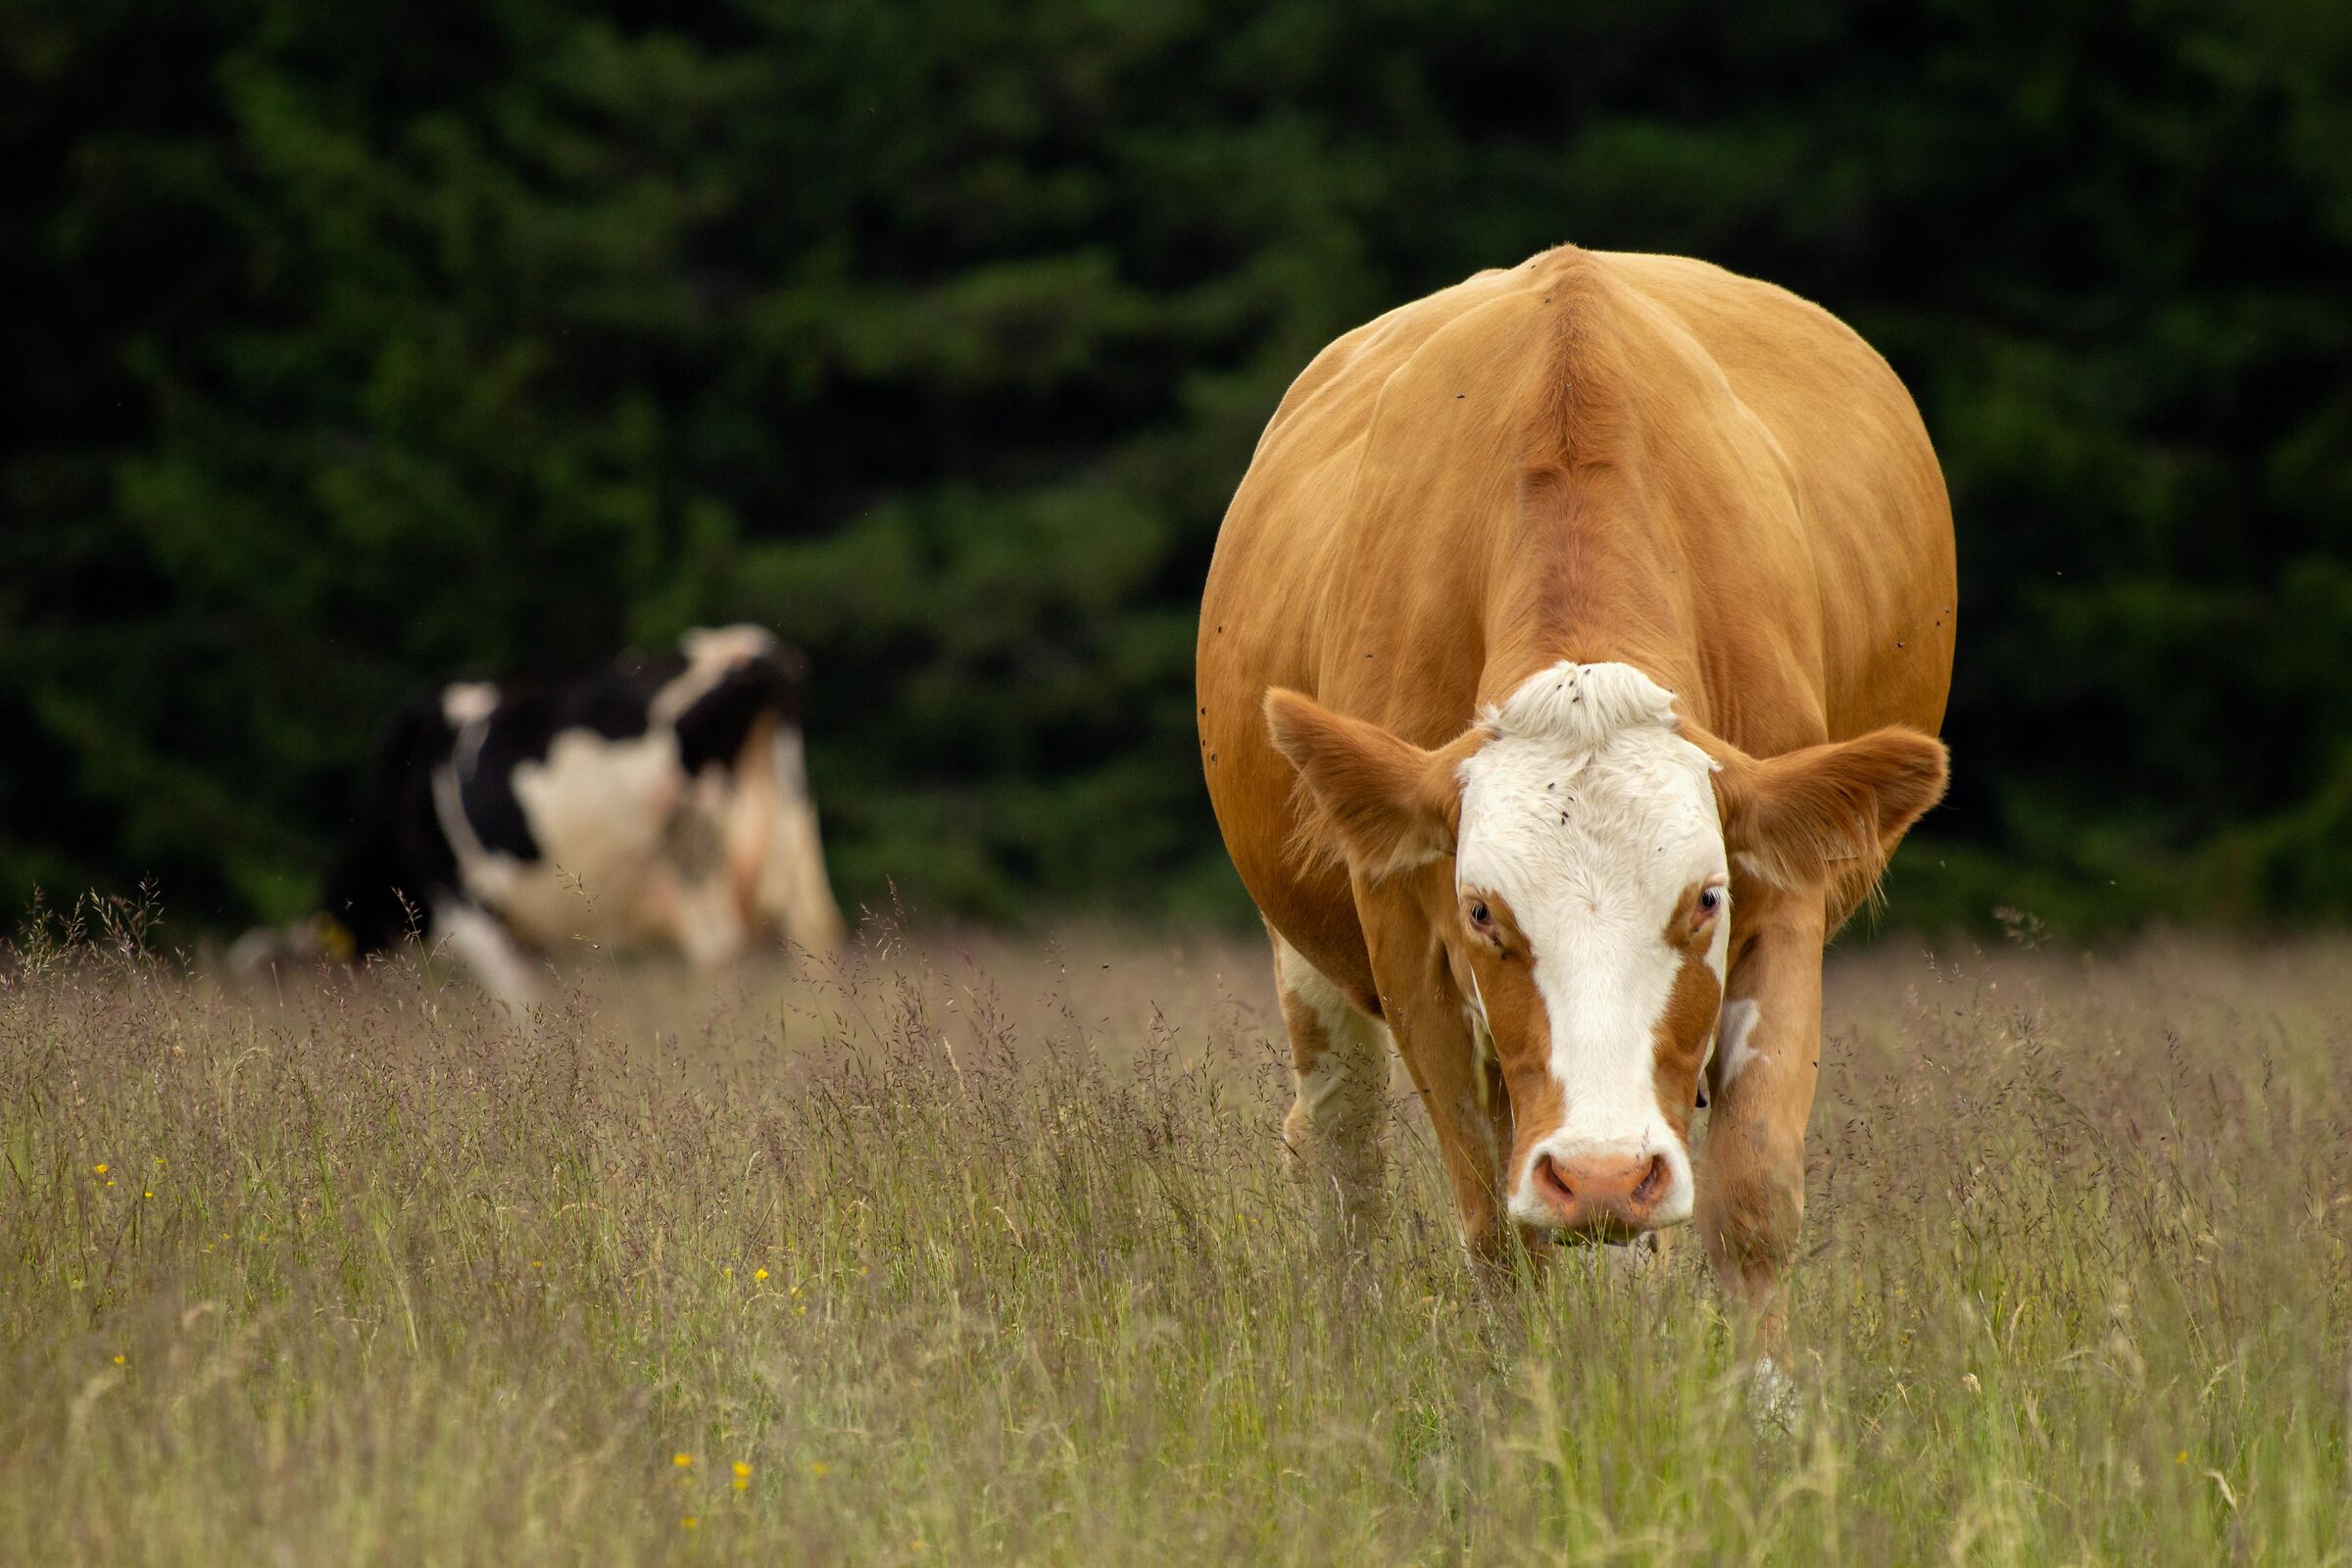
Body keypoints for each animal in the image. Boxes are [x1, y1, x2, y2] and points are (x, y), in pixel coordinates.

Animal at [236, 625, 847, 1003]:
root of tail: (748, 652)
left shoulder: (469, 908)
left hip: (694, 861)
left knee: (718, 958)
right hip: (794, 849)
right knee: (815, 948)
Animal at [1196, 246, 1954, 1360]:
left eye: (1705, 900)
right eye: (1480, 910)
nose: (1600, 1174)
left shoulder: (1787, 894)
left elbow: (1753, 1200)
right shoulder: (1403, 933)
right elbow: (1496, 1228)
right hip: (1310, 951)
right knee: (1340, 1149)